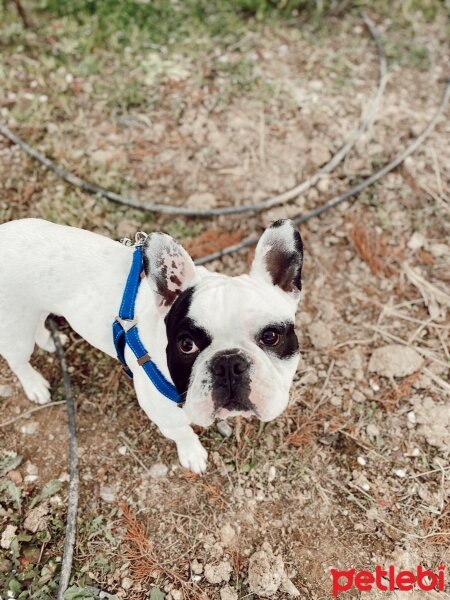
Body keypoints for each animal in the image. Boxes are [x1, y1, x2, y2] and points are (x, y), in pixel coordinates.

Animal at [0, 218, 304, 472]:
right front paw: (192, 453)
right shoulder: (163, 413)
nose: (229, 362)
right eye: (186, 345)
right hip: (15, 329)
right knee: (18, 359)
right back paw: (35, 384)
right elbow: (182, 432)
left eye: (270, 337)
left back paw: (49, 341)